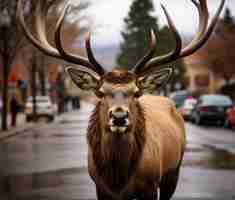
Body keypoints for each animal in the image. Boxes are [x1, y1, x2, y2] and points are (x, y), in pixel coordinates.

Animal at [17, 0, 226, 199]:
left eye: (136, 92)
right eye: (100, 92)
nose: (119, 117)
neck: (118, 178)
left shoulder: (151, 185)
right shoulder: (100, 188)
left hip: (173, 172)